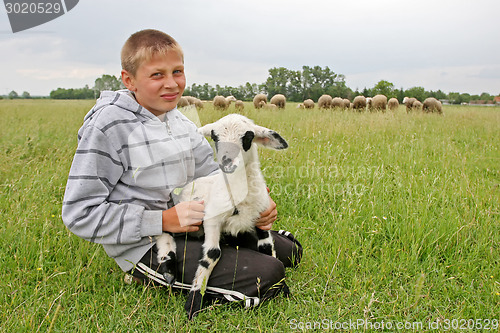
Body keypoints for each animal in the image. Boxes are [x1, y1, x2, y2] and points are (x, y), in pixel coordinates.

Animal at [156, 114, 290, 320]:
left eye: (248, 137)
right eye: (215, 137)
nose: (227, 163)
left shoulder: (262, 218)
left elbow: (267, 249)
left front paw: (283, 288)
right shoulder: (212, 219)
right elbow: (211, 254)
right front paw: (194, 301)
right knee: (164, 230)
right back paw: (168, 267)